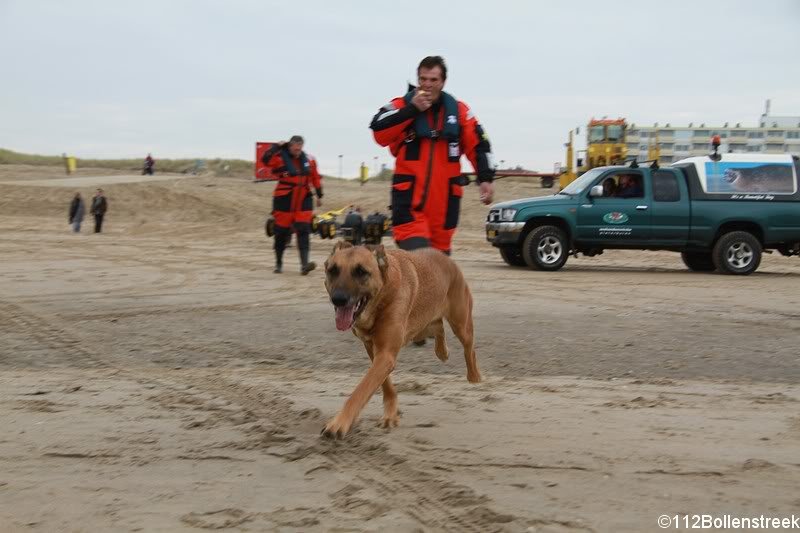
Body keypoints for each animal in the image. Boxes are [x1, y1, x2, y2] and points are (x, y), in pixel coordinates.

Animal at [320, 241, 482, 436]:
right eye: (333, 270)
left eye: (361, 272)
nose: (338, 299)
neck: (381, 298)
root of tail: (447, 259)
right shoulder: (375, 350)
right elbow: (385, 385)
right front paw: (391, 415)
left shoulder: (385, 355)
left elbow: (360, 390)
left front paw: (339, 423)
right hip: (420, 326)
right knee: (438, 327)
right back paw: (442, 352)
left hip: (461, 324)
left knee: (469, 348)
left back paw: (474, 377)